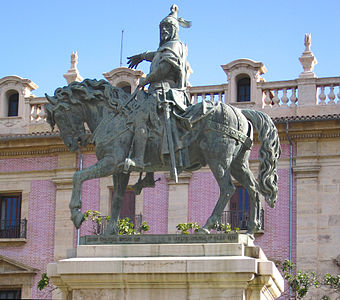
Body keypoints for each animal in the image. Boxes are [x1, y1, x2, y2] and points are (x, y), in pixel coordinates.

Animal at [45, 78, 282, 236]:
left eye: (60, 116)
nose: (71, 143)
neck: (113, 116)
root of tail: (241, 112)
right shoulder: (120, 169)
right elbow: (118, 198)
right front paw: (110, 231)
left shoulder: (111, 162)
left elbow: (78, 176)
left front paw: (76, 213)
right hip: (238, 163)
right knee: (253, 189)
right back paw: (250, 230)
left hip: (219, 160)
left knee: (228, 189)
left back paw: (206, 227)